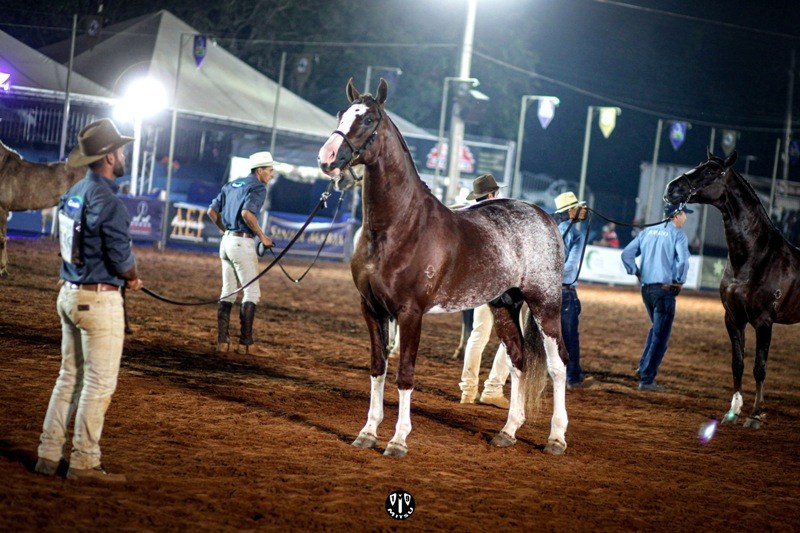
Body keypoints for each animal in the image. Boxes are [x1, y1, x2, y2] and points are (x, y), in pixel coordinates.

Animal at [318, 78, 568, 458]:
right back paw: (508, 431)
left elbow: (405, 373)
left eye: (369, 119)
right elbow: (378, 368)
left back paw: (556, 438)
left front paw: (398, 440)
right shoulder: (371, 309)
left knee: (558, 366)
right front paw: (367, 432)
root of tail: (544, 216)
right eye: (341, 113)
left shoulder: (410, 313)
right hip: (504, 306)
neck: (399, 226)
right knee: (518, 360)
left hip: (545, 305)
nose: (328, 158)